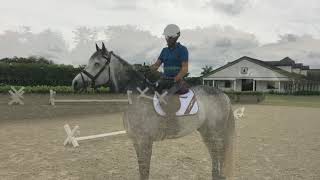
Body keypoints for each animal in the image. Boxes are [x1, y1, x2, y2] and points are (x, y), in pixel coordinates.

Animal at [74, 43, 236, 179]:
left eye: (97, 64)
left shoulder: (145, 141)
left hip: (215, 133)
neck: (137, 98)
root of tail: (223, 94)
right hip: (205, 132)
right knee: (214, 155)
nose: (75, 83)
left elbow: (144, 171)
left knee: (219, 154)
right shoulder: (136, 141)